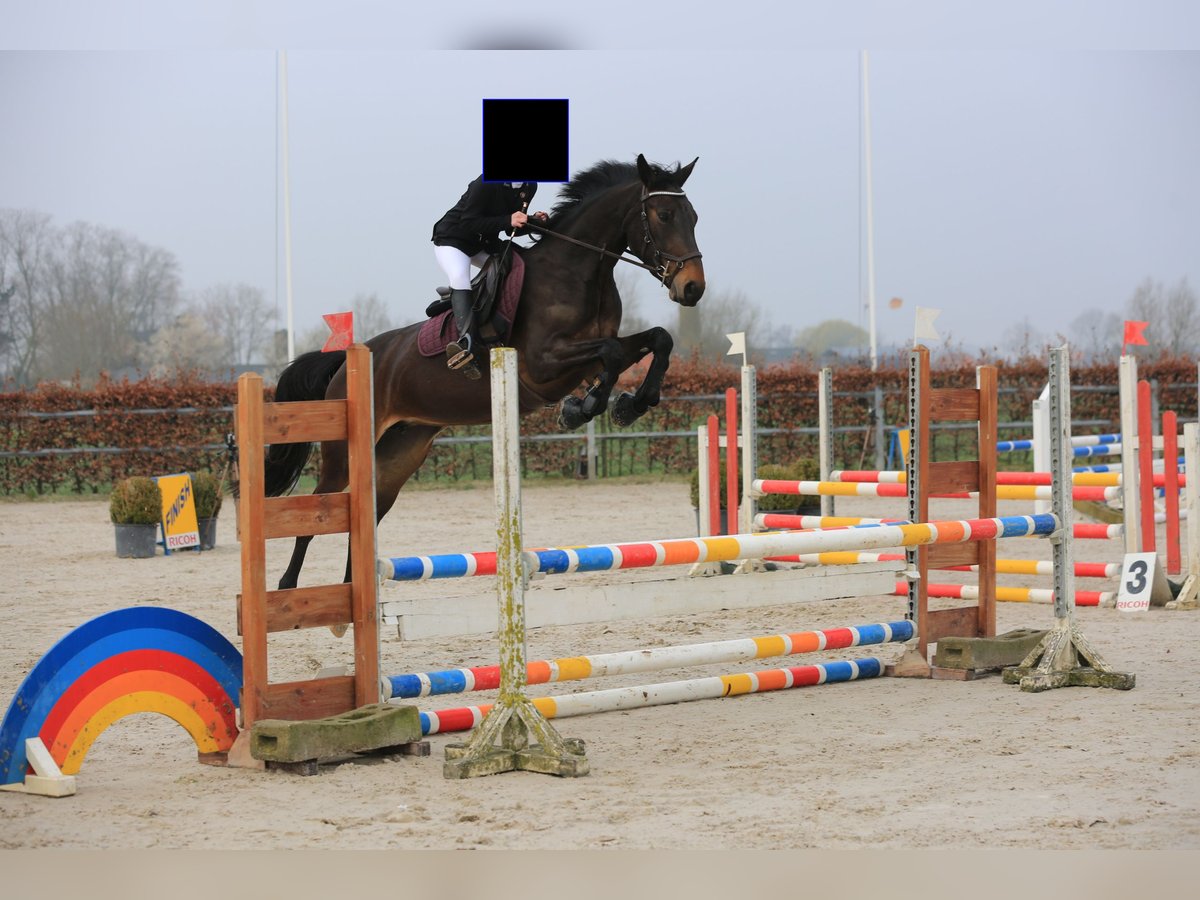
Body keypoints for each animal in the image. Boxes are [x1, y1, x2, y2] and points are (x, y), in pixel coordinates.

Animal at [264, 154, 705, 592]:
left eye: (694, 217)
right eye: (664, 215)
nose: (693, 289)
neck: (578, 272)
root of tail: (347, 361)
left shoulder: (587, 356)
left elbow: (656, 340)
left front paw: (628, 405)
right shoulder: (543, 363)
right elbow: (612, 354)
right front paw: (583, 407)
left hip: (400, 452)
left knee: (366, 518)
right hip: (344, 454)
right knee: (317, 513)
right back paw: (288, 588)